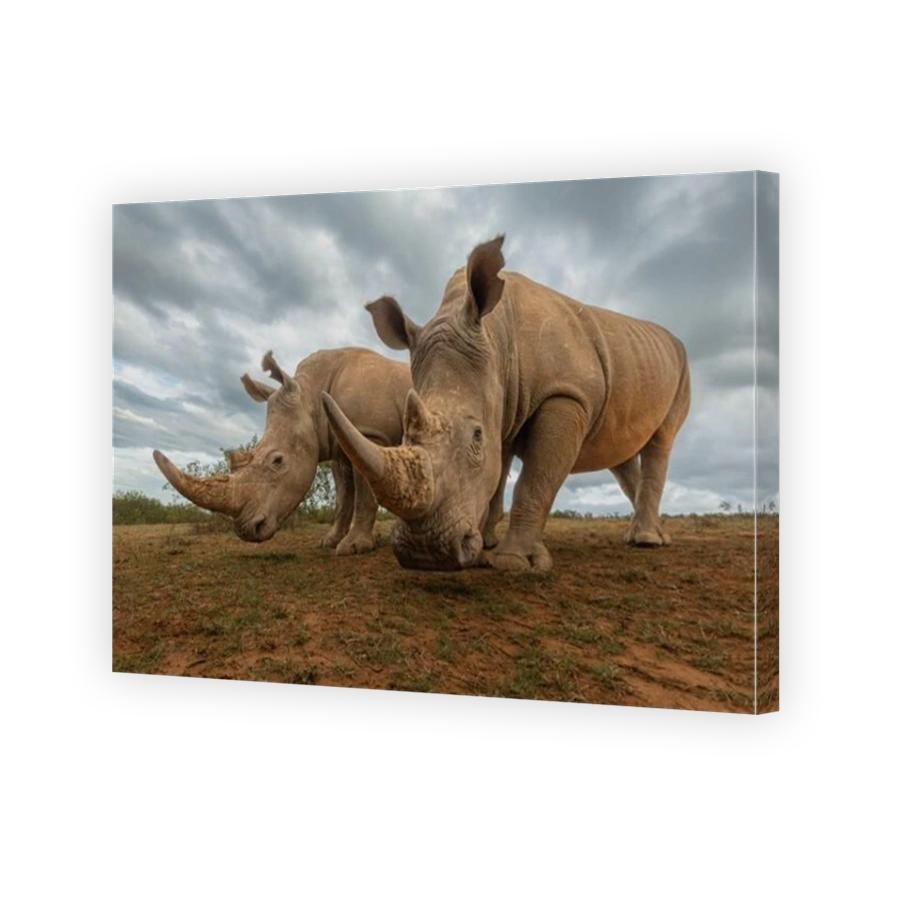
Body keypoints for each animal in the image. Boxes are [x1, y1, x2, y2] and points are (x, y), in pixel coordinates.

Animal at [153, 347, 411, 555]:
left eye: (277, 461)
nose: (247, 531)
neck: (311, 397)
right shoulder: (341, 444)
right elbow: (343, 497)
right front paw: (330, 541)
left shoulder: (369, 432)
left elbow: (363, 494)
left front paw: (354, 548)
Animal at [321, 235, 691, 571]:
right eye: (402, 438)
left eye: (476, 435)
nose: (424, 552)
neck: (495, 338)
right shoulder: (503, 405)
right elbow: (496, 476)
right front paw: (485, 546)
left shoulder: (566, 395)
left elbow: (534, 479)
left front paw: (513, 561)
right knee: (621, 453)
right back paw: (650, 535)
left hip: (680, 366)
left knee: (662, 439)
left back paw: (647, 541)